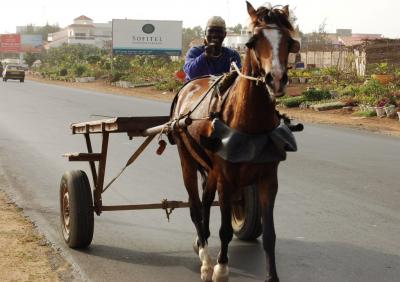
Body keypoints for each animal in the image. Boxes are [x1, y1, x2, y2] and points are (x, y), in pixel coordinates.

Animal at [170, 2, 298, 282]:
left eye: (289, 41)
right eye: (252, 41)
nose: (276, 79)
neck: (250, 124)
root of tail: (190, 85)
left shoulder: (269, 179)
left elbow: (269, 235)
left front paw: (272, 276)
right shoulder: (226, 179)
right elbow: (225, 229)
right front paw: (220, 268)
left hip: (212, 170)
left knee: (206, 201)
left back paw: (202, 242)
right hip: (186, 158)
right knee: (195, 206)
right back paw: (205, 259)